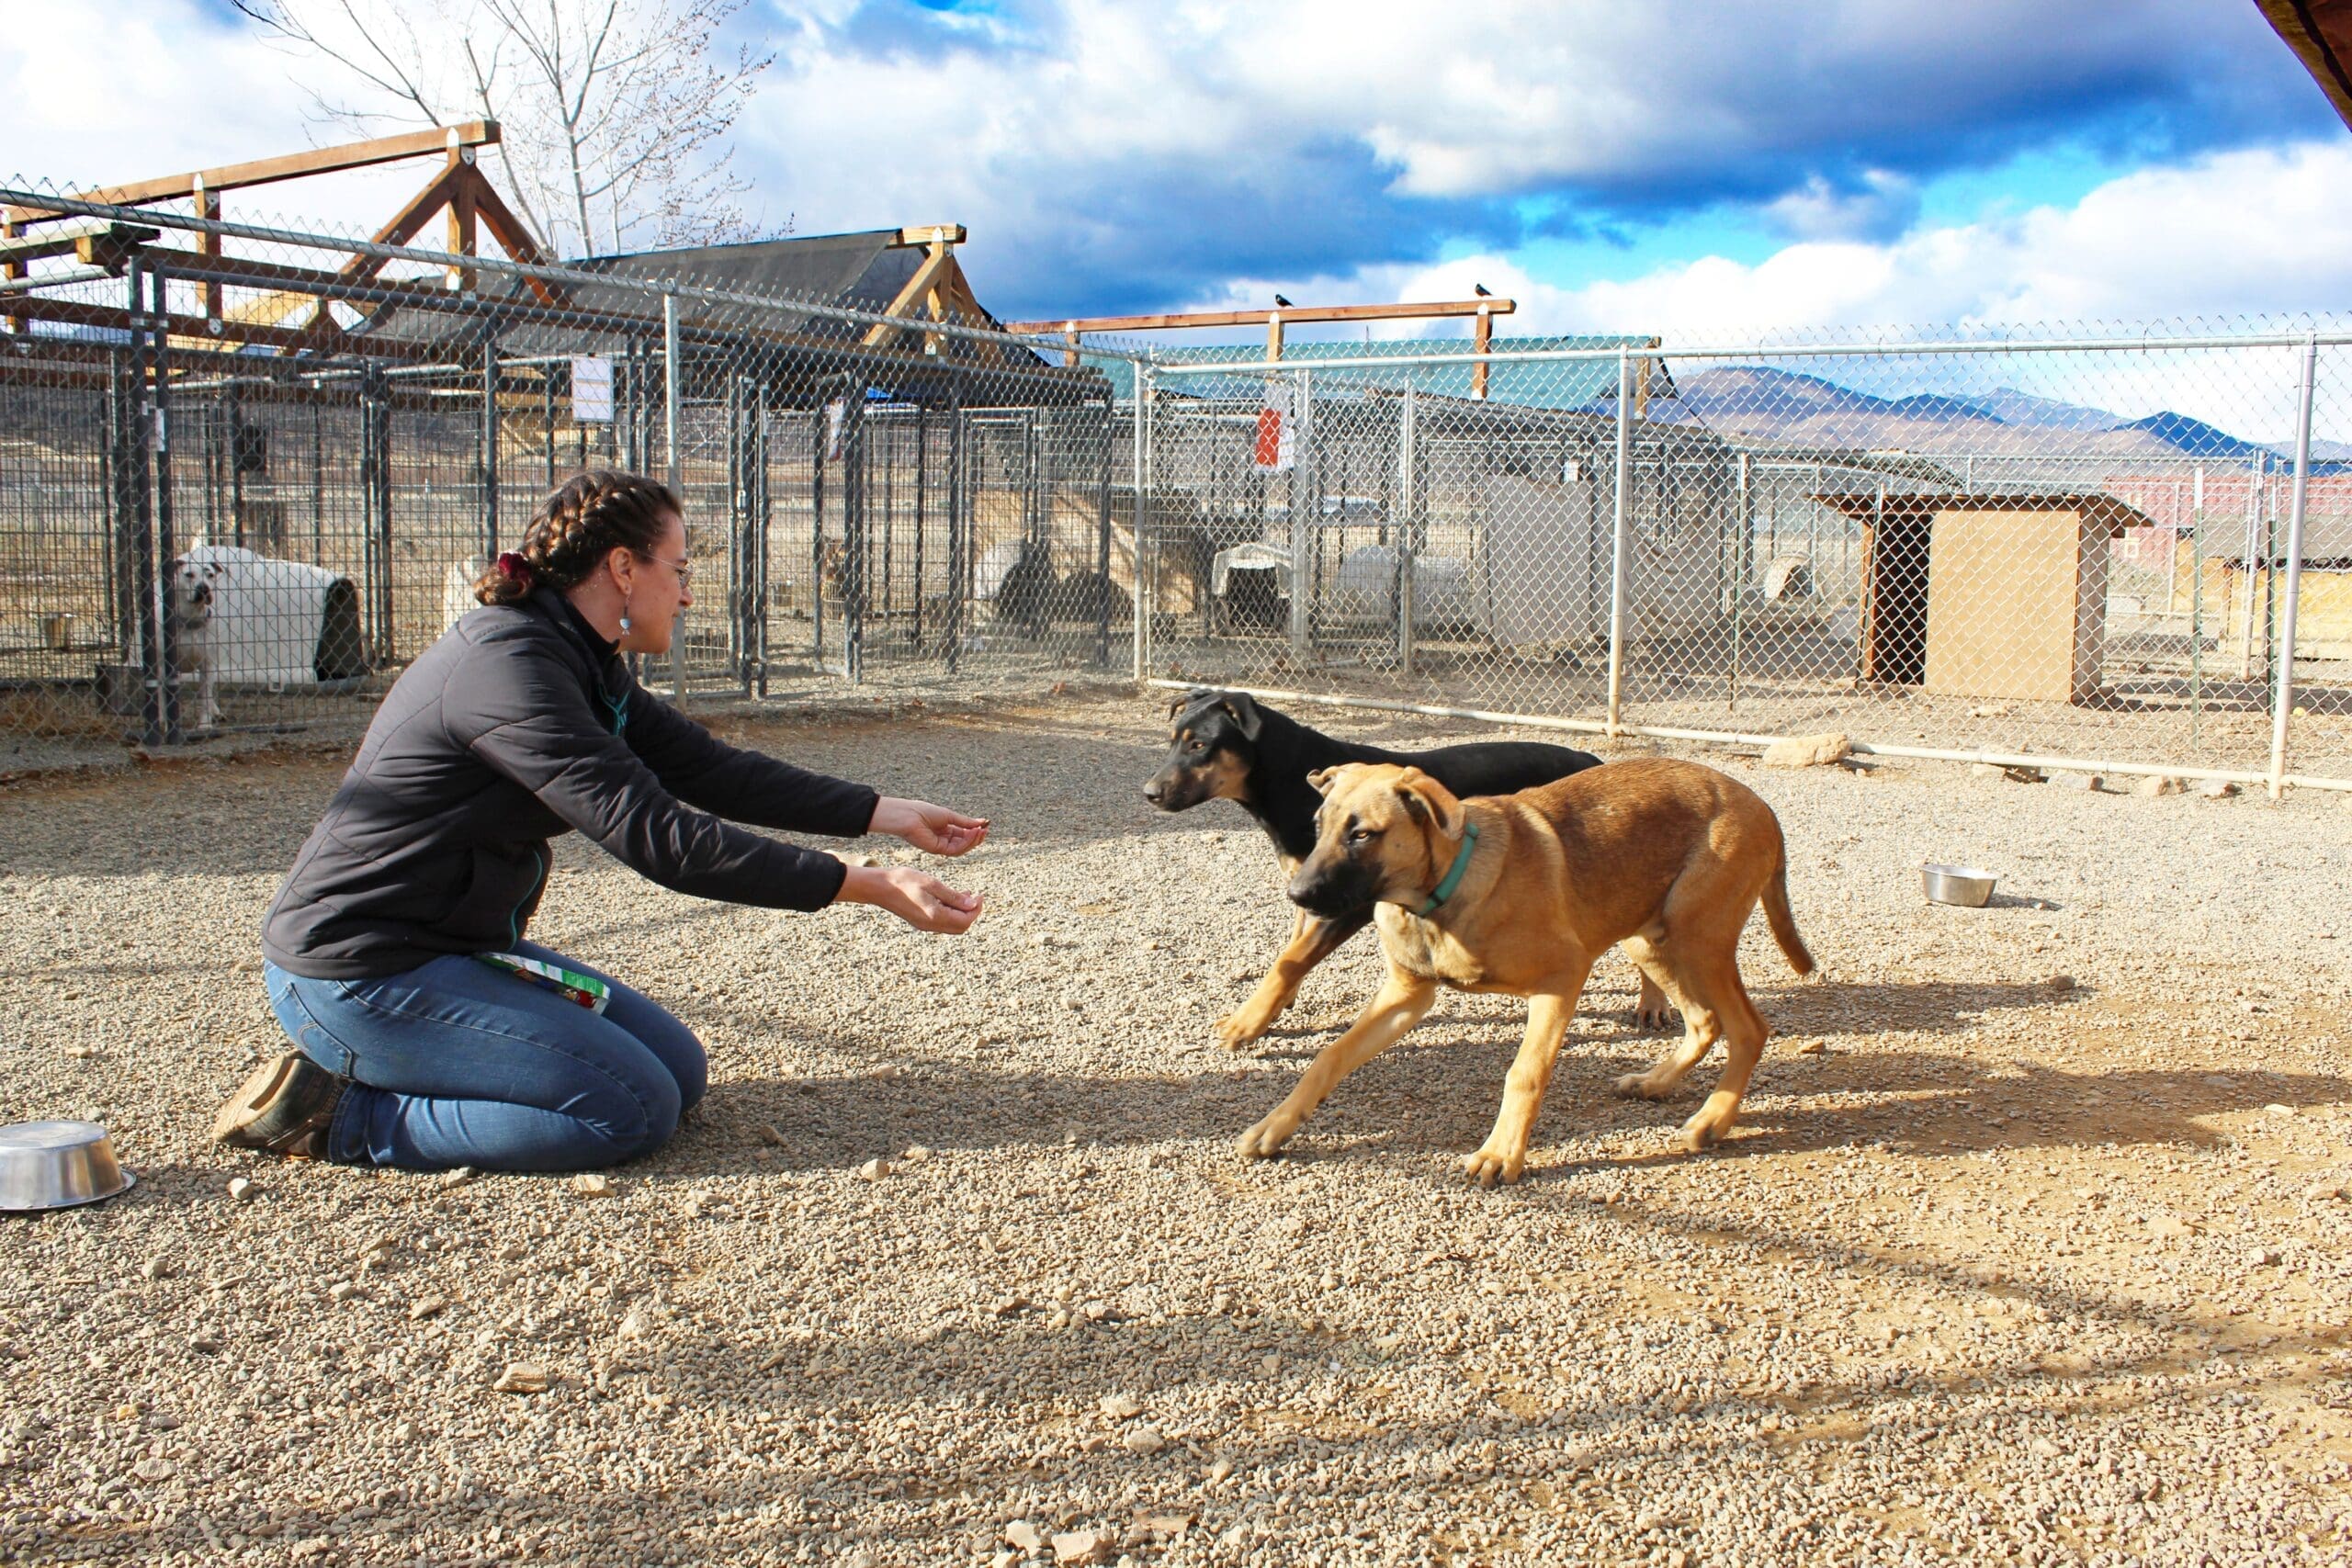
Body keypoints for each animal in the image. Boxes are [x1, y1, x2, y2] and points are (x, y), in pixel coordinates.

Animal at [1143, 691, 1674, 1048]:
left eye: (1200, 745)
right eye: (1171, 741)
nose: (1149, 793)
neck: (1290, 779)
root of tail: (1590, 757)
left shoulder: (1348, 901)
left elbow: (1292, 958)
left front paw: (1245, 1024)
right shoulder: (1308, 881)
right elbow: (1291, 953)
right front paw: (1275, 1005)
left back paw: (1653, 1005)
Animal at [1232, 751, 1815, 1184]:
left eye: (1362, 835)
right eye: (1319, 826)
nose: (1297, 895)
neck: (1440, 896)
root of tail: (1761, 804)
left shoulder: (1561, 981)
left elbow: (1525, 1073)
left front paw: (1500, 1155)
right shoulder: (1406, 996)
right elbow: (1327, 1058)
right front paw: (1275, 1125)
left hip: (1698, 940)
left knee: (1749, 1028)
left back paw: (1713, 1120)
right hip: (1651, 940)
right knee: (1704, 1021)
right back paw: (1655, 1083)